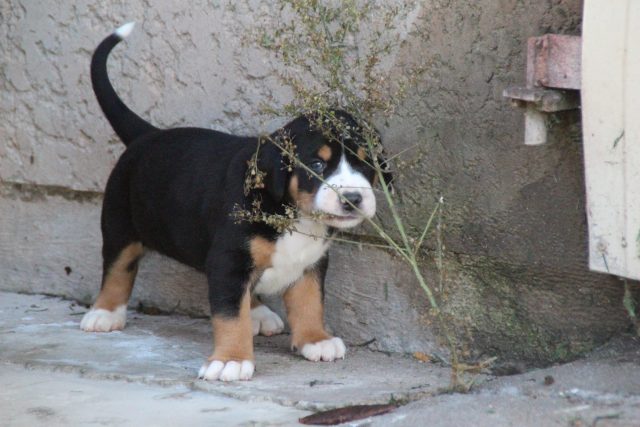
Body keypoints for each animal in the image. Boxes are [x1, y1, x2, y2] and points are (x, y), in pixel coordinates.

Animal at [82, 23, 384, 382]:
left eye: (366, 164)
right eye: (317, 165)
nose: (353, 198)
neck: (292, 212)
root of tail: (148, 134)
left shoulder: (309, 262)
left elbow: (310, 301)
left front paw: (316, 339)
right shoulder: (228, 258)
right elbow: (229, 314)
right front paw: (232, 360)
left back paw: (258, 313)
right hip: (119, 222)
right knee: (117, 267)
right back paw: (104, 313)